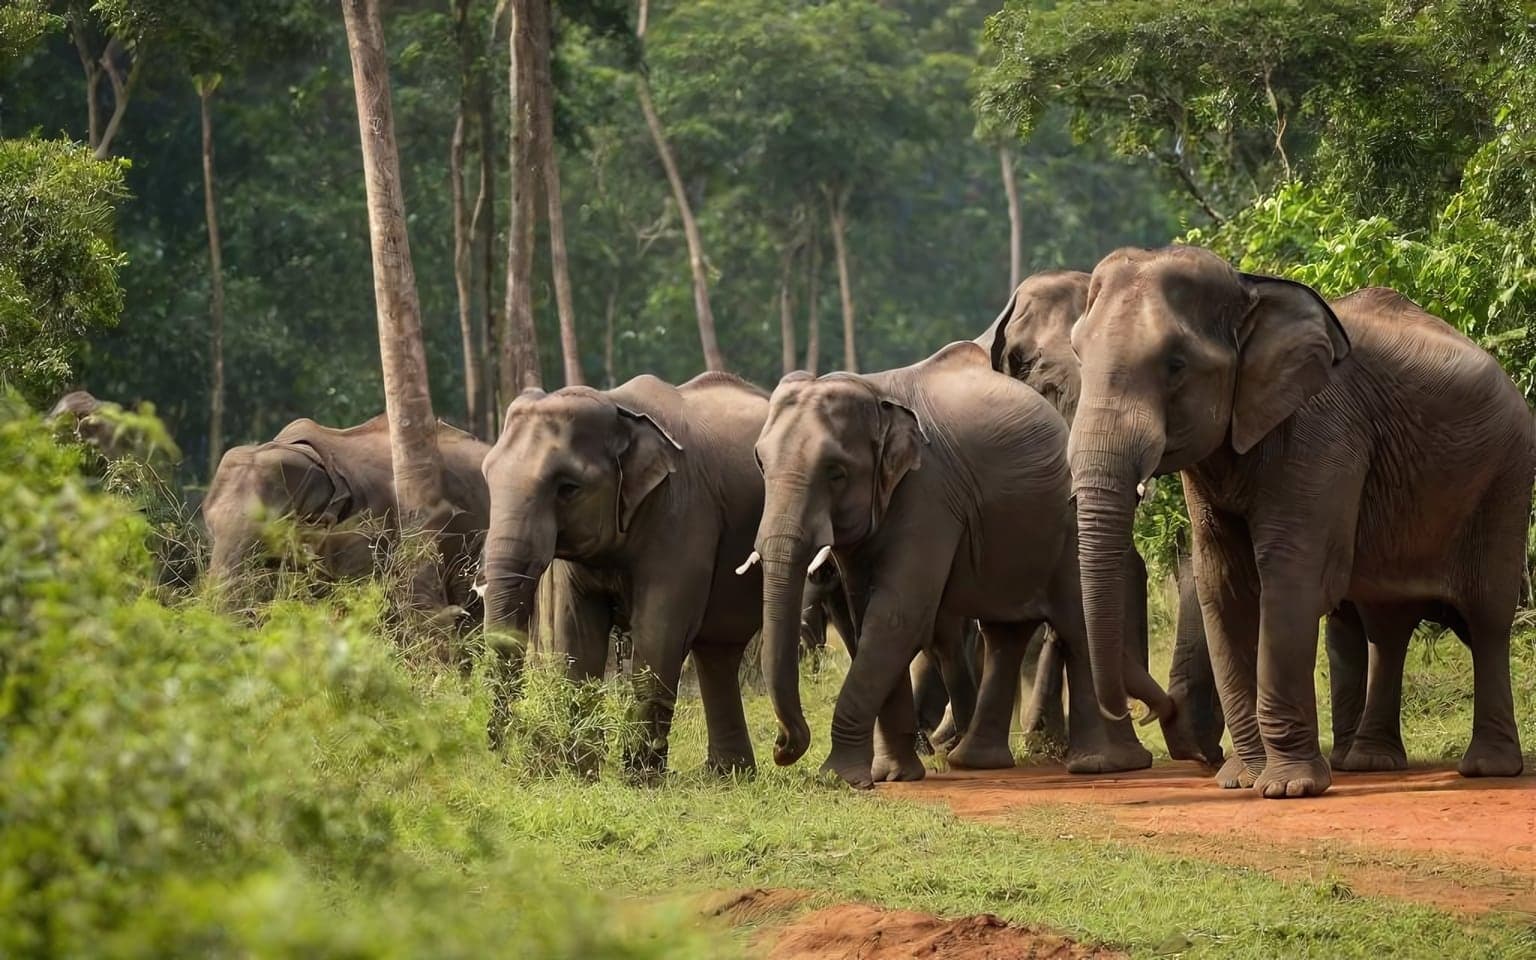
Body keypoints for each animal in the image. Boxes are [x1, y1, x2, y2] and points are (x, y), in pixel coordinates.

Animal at [479, 372, 768, 774]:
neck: (620, 407)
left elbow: (659, 632)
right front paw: (582, 772)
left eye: (568, 488)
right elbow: (578, 635)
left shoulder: (682, 511)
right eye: (487, 476)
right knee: (718, 650)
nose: (500, 750)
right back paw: (728, 776)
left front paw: (638, 777)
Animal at [750, 341, 1174, 788]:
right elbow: (873, 617)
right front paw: (894, 776)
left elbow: (898, 616)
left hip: (1070, 523)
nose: (781, 747)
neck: (874, 393)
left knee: (1077, 624)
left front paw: (841, 778)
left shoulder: (928, 492)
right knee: (1007, 634)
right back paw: (977, 763)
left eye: (836, 473)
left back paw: (1104, 765)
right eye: (760, 463)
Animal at [1064, 244, 1531, 798]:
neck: (1250, 289)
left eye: (1176, 365)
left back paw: (1487, 769)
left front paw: (1289, 788)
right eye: (1077, 356)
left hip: (1506, 476)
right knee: (1388, 623)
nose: (1134, 714)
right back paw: (1371, 763)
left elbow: (1290, 579)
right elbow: (1223, 586)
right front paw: (1242, 782)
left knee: (1487, 615)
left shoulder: (1322, 432)